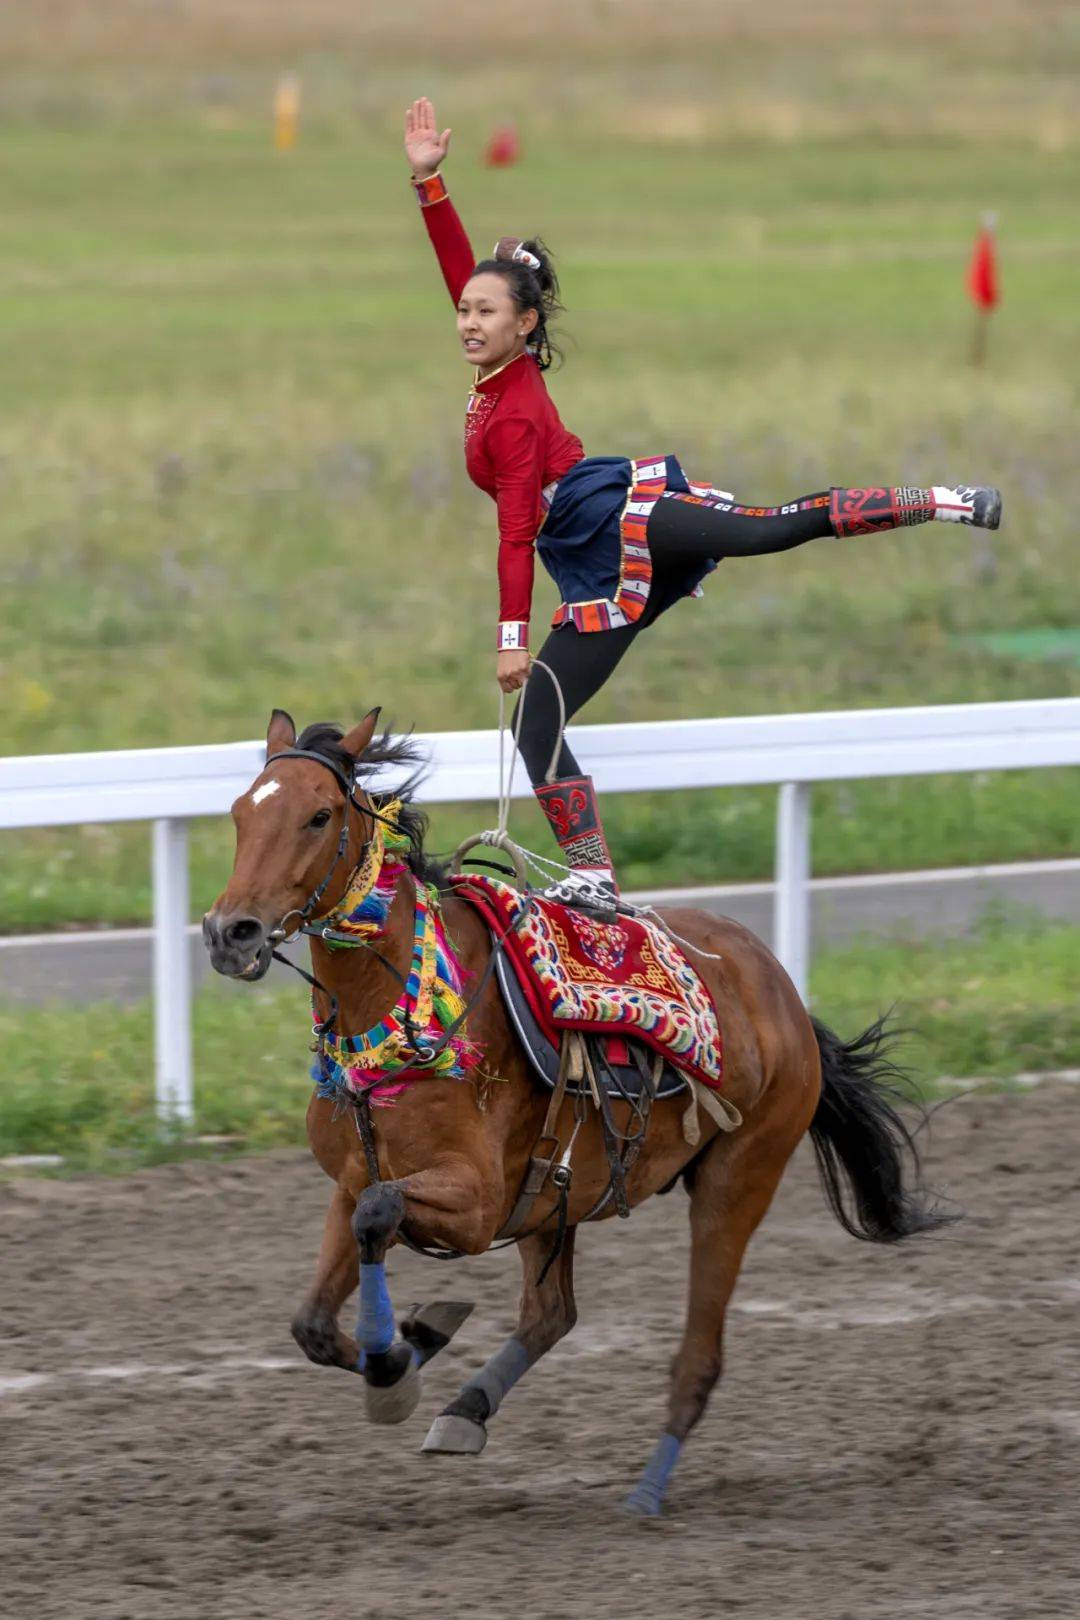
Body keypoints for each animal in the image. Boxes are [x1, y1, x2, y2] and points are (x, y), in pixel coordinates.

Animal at [202, 709, 945, 1516]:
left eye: (318, 815)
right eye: (239, 813)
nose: (230, 932)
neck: (407, 1006)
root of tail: (783, 992)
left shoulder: (477, 1204)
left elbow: (380, 1215)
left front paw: (398, 1360)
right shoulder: (355, 1177)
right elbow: (315, 1316)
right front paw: (406, 1349)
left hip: (738, 1178)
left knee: (700, 1353)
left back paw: (647, 1489)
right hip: (553, 1196)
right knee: (552, 1313)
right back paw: (465, 1409)